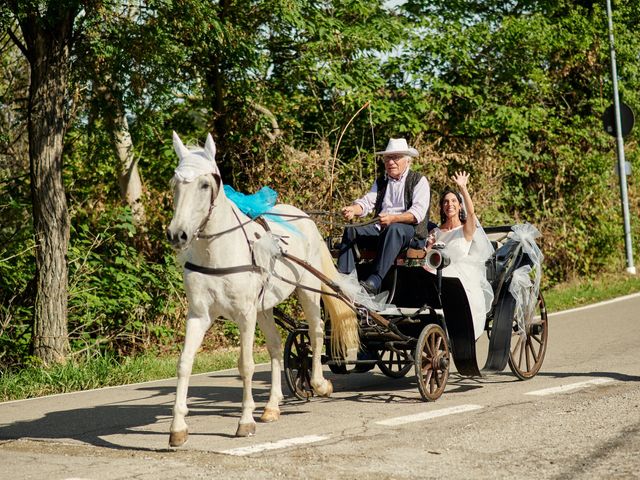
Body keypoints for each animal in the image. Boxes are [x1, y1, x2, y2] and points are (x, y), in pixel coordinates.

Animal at [164, 131, 360, 446]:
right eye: (175, 184)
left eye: (205, 184)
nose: (177, 234)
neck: (217, 251)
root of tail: (303, 216)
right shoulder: (199, 315)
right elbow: (184, 363)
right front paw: (178, 428)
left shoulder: (245, 314)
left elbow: (246, 365)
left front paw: (245, 422)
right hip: (266, 307)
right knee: (277, 347)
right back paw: (271, 406)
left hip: (307, 290)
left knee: (316, 332)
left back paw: (319, 383)